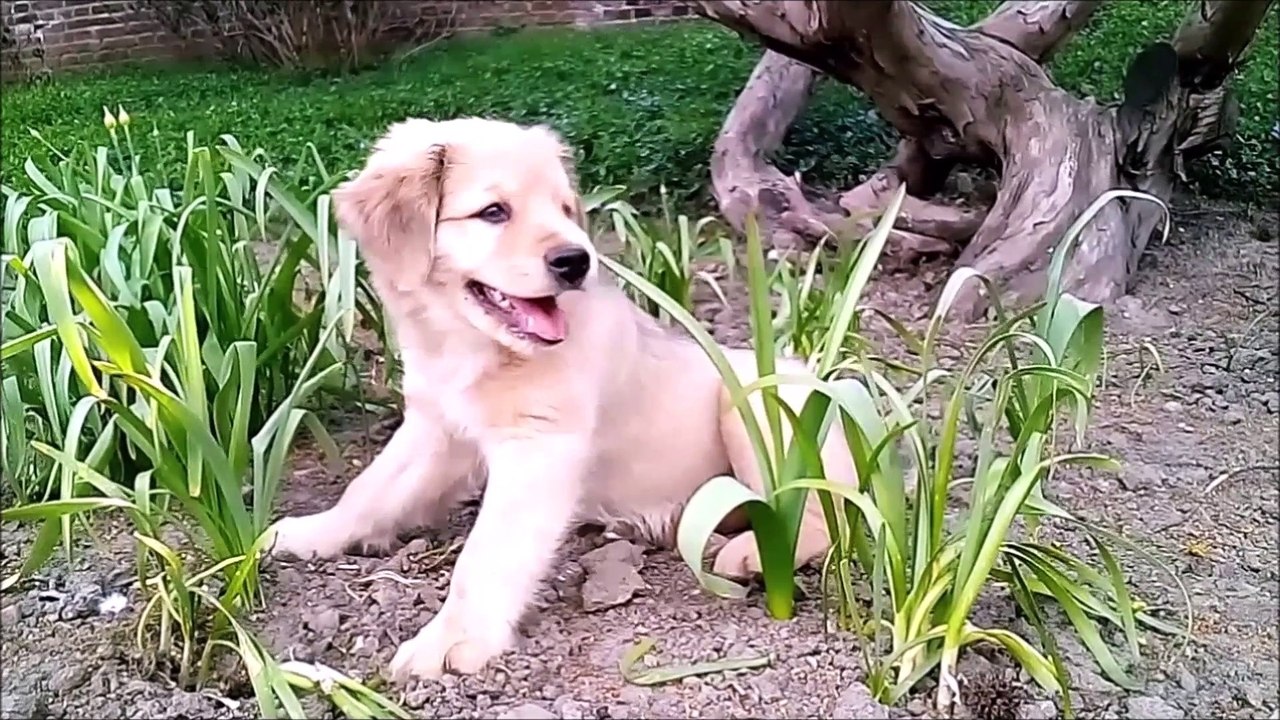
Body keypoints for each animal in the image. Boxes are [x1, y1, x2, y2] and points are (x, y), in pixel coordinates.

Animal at [270, 116, 855, 676]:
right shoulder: (435, 426)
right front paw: (310, 533)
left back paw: (752, 554)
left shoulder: (539, 447)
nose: (576, 260)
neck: (472, 347)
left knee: (829, 517)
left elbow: (485, 555)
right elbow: (369, 489)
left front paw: (452, 640)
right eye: (493, 212)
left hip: (750, 404)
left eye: (564, 210)